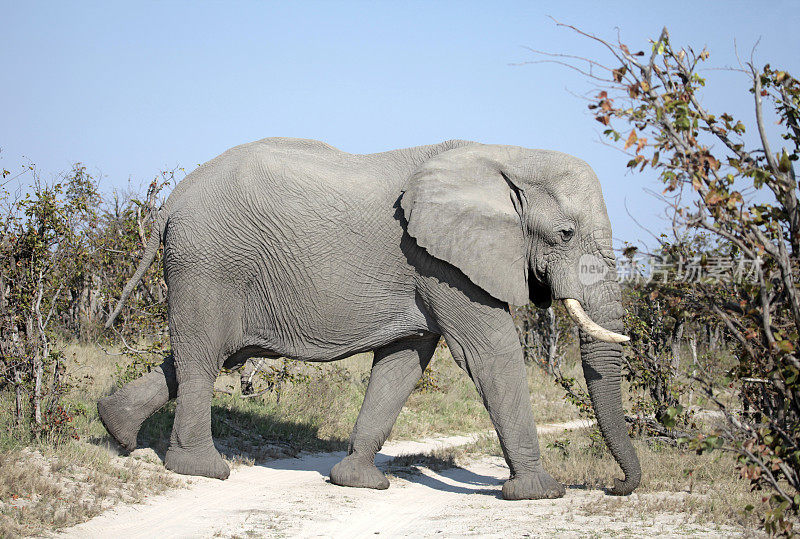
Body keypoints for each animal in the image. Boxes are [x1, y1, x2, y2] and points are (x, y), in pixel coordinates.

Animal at [100, 137, 640, 500]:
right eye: (566, 234)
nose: (615, 487)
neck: (507, 155)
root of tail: (171, 200)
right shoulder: (441, 263)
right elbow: (491, 353)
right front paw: (541, 492)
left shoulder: (427, 269)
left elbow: (403, 362)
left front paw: (358, 482)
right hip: (207, 262)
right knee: (203, 357)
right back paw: (202, 470)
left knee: (199, 355)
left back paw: (118, 431)